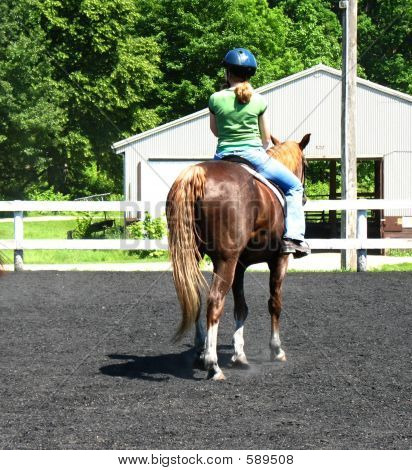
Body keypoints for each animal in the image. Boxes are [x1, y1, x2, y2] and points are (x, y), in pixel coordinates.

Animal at [166, 134, 310, 380]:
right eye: (307, 165)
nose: (305, 199)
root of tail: (197, 173)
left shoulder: (240, 266)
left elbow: (241, 307)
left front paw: (239, 355)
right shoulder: (279, 260)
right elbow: (274, 303)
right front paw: (276, 350)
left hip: (196, 257)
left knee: (196, 297)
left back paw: (201, 351)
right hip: (226, 261)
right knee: (214, 301)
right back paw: (212, 364)